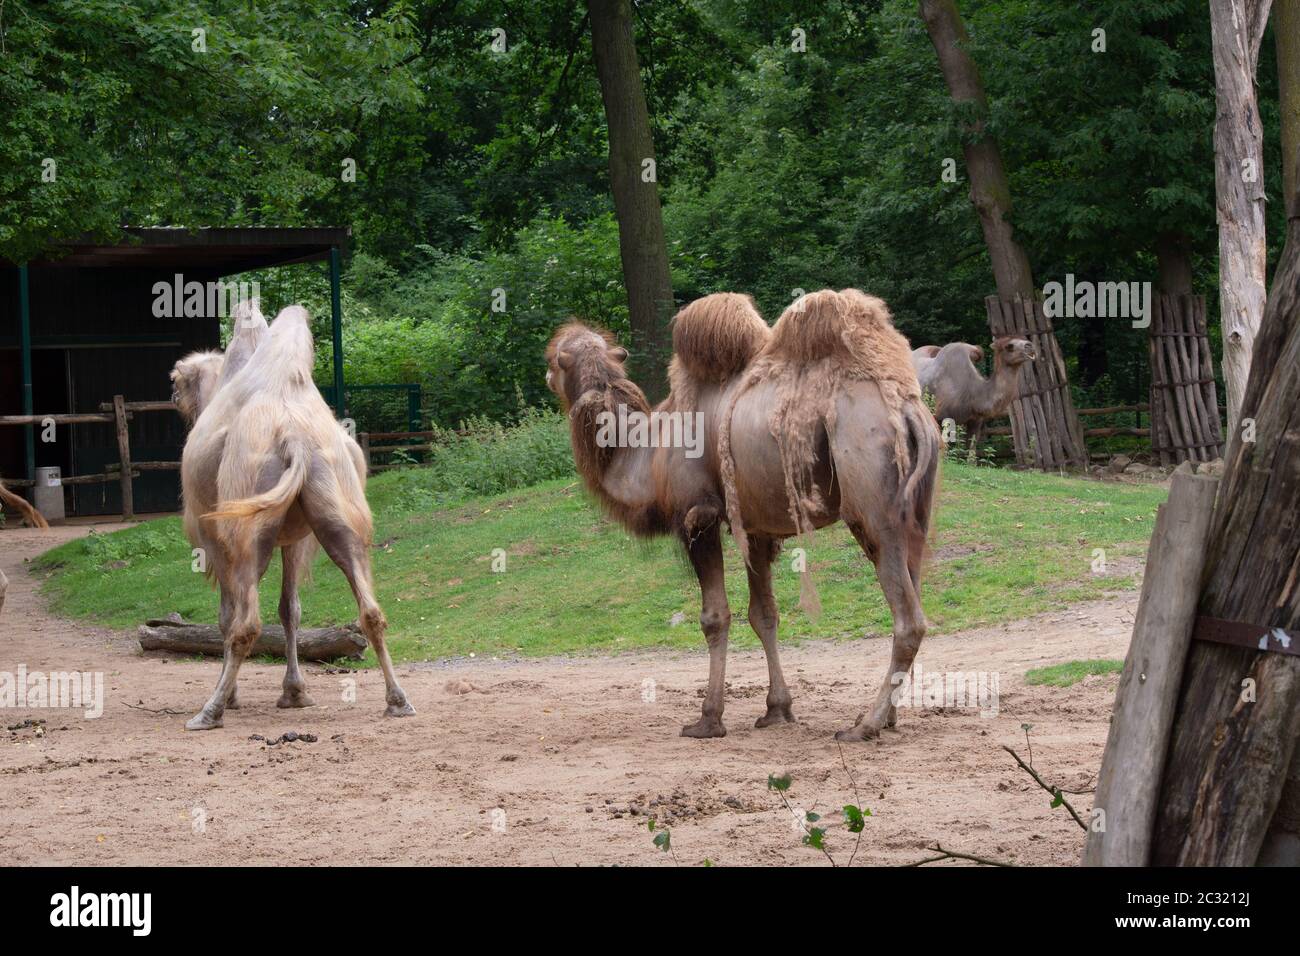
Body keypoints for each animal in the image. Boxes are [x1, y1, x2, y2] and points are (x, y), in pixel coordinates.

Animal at [170, 303, 408, 728]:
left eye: (176, 384)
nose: (172, 396)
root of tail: (294, 437)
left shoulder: (212, 538)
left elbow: (226, 615)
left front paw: (235, 695)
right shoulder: (297, 539)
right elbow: (290, 609)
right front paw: (295, 692)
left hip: (245, 527)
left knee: (246, 622)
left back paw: (210, 711)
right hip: (336, 512)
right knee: (371, 608)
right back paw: (398, 700)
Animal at [543, 290, 941, 738]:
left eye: (552, 356)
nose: (546, 376)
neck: (647, 456)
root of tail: (908, 410)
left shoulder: (697, 515)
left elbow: (715, 617)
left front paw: (707, 718)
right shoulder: (756, 527)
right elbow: (764, 615)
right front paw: (777, 709)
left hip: (869, 495)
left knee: (908, 618)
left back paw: (865, 725)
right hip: (917, 510)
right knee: (914, 586)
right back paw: (887, 717)